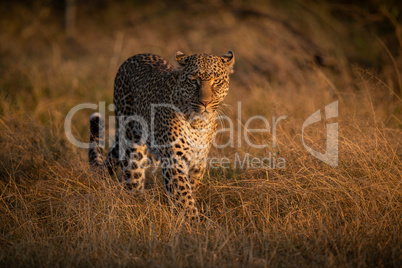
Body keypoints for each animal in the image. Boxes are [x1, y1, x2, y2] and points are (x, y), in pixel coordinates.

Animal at [89, 50, 234, 220]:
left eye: (216, 81)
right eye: (193, 81)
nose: (205, 102)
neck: (198, 122)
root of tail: (135, 56)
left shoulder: (198, 160)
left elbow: (190, 189)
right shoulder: (173, 160)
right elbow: (184, 196)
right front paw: (194, 222)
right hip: (132, 141)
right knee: (131, 178)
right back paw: (137, 206)